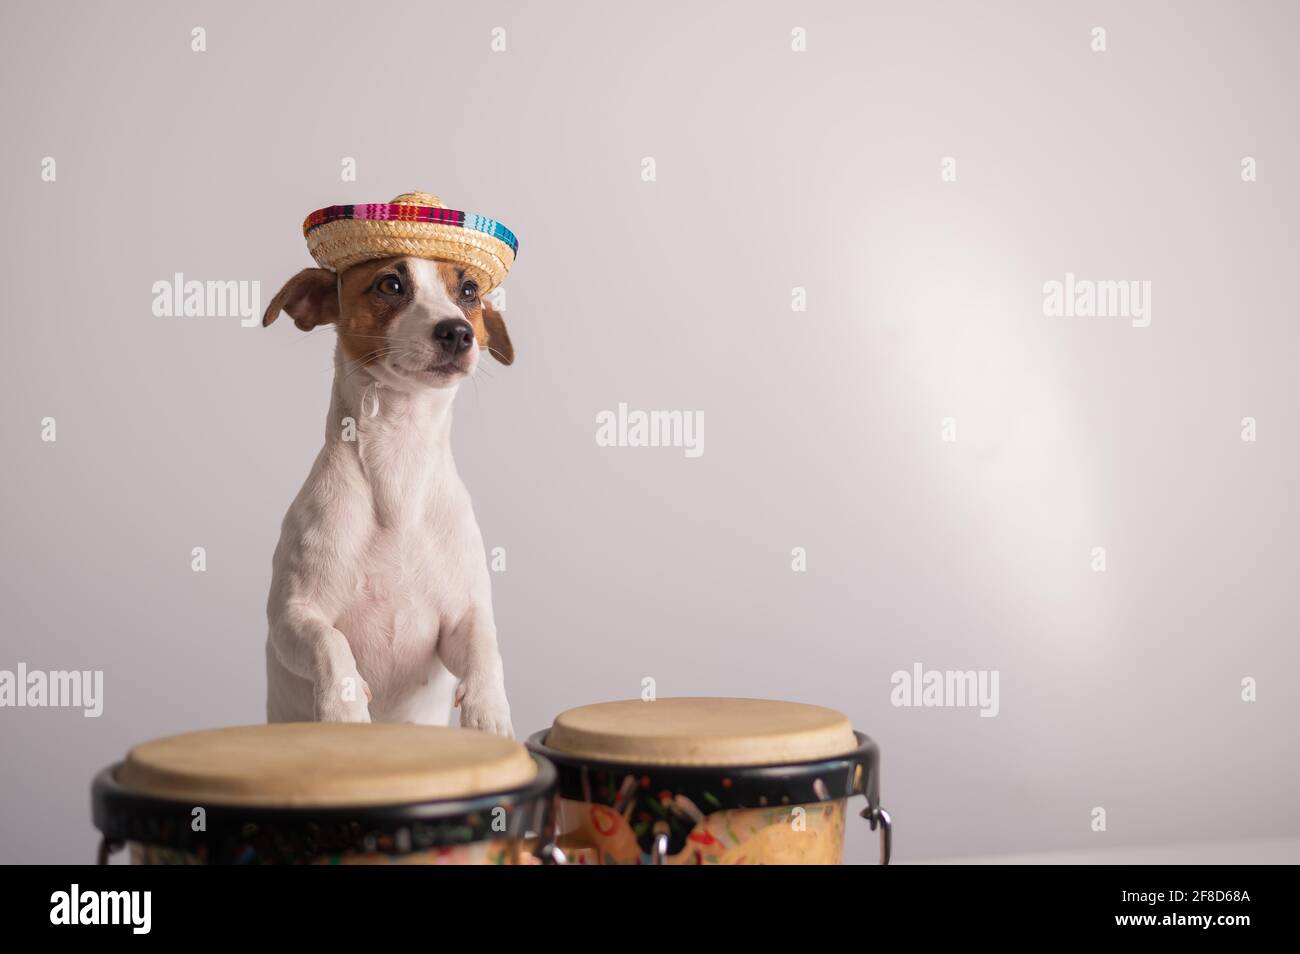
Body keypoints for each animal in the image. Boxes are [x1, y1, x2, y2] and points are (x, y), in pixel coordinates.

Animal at [258, 257, 512, 738]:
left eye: (469, 291)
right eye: (391, 285)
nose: (457, 331)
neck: (399, 461)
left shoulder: (460, 618)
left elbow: (485, 647)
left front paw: (489, 710)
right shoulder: (291, 617)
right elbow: (330, 642)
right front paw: (343, 706)